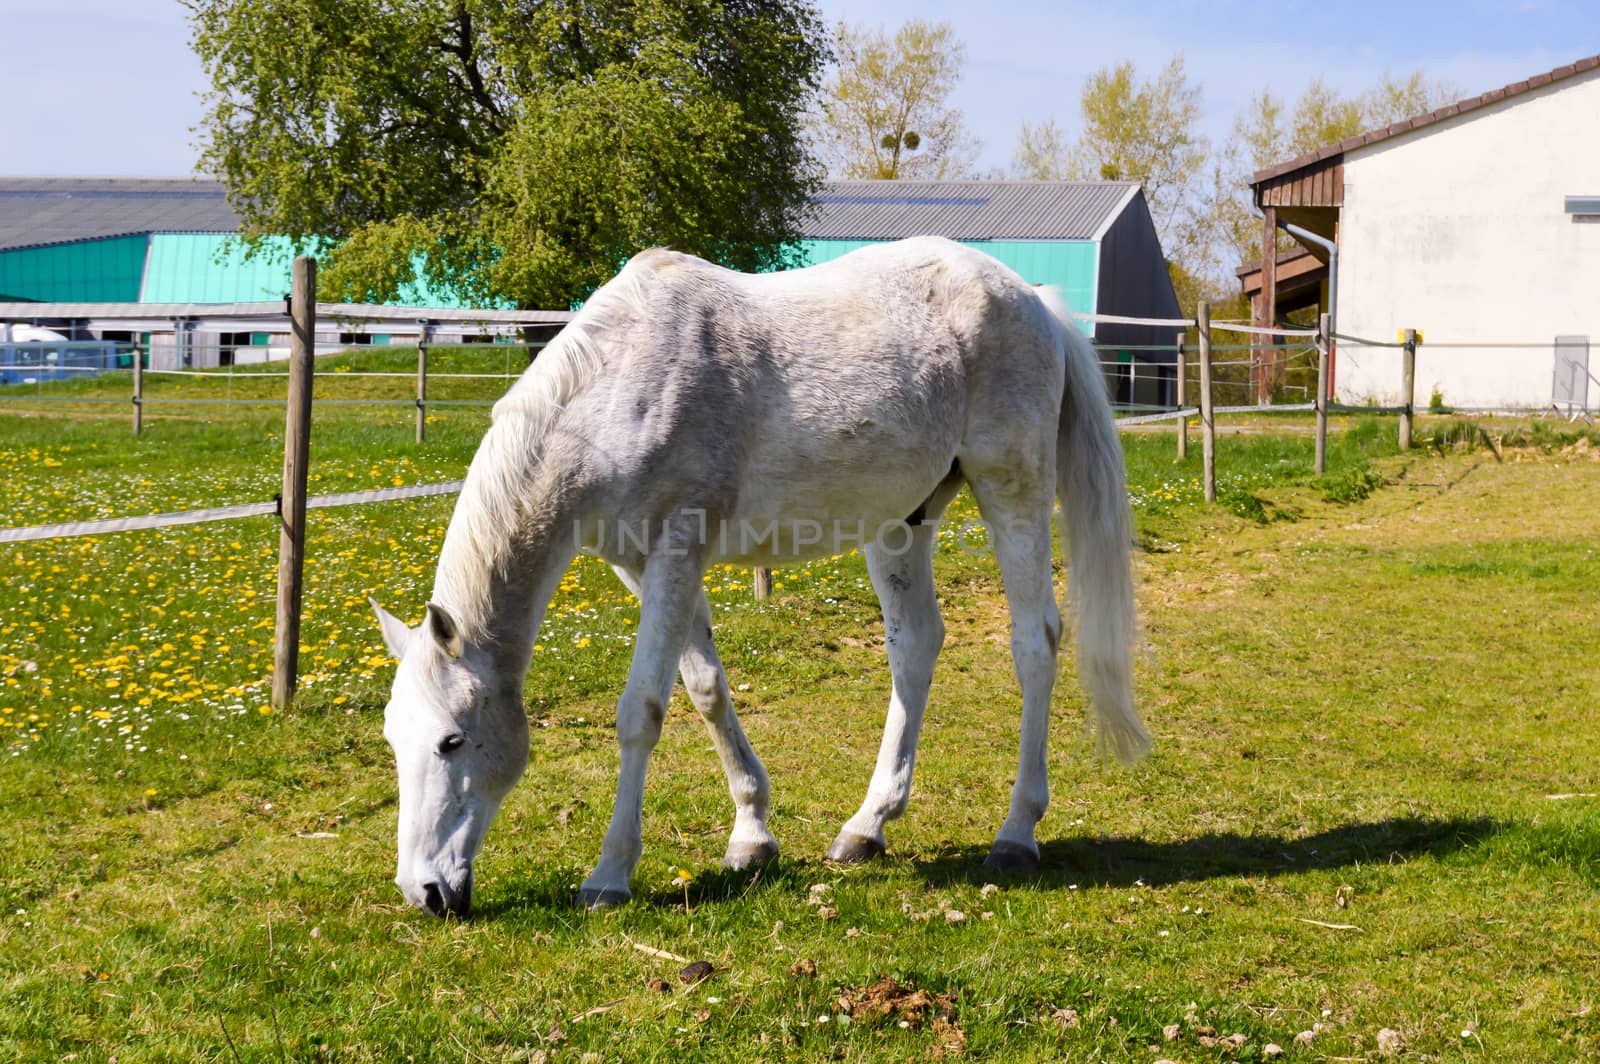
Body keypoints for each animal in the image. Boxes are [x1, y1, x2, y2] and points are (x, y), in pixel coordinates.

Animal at [371, 235, 1152, 915]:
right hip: (901, 521)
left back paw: (1017, 833)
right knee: (915, 645)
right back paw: (867, 826)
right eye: (393, 740)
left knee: (1034, 641)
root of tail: (1033, 301)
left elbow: (641, 712)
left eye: (452, 741)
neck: (618, 383)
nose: (424, 892)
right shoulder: (642, 565)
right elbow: (706, 691)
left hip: (1012, 492)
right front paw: (752, 835)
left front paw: (610, 873)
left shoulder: (677, 551)